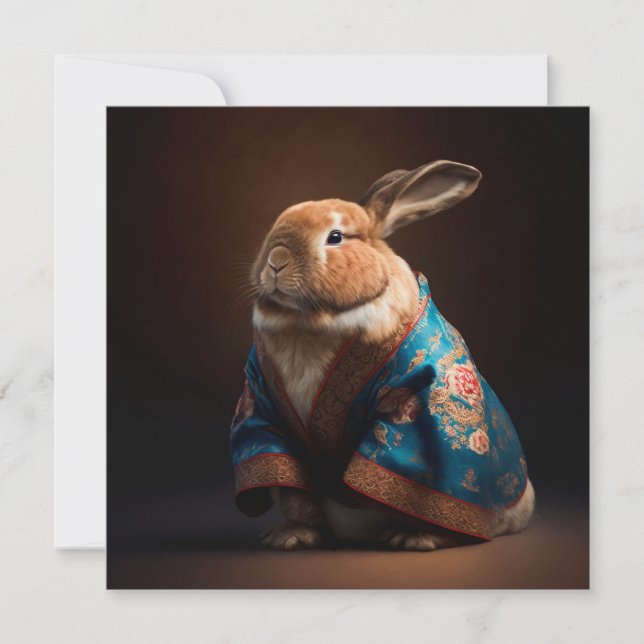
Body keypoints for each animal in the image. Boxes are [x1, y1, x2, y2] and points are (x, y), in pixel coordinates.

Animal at [230, 160, 535, 551]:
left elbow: (413, 473)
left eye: (335, 237)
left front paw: (417, 537)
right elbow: (291, 488)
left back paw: (414, 536)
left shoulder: (417, 405)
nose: (275, 260)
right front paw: (289, 536)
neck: (311, 321)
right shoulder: (262, 407)